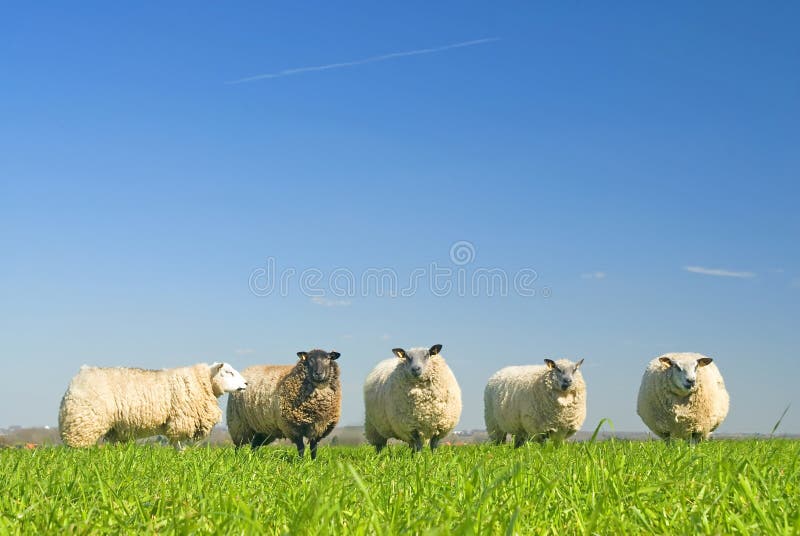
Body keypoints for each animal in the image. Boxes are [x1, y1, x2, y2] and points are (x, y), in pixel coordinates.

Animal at [58, 360, 245, 448]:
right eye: (228, 372)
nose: (246, 383)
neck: (203, 381)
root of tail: (80, 374)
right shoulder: (180, 421)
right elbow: (178, 445)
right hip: (84, 421)